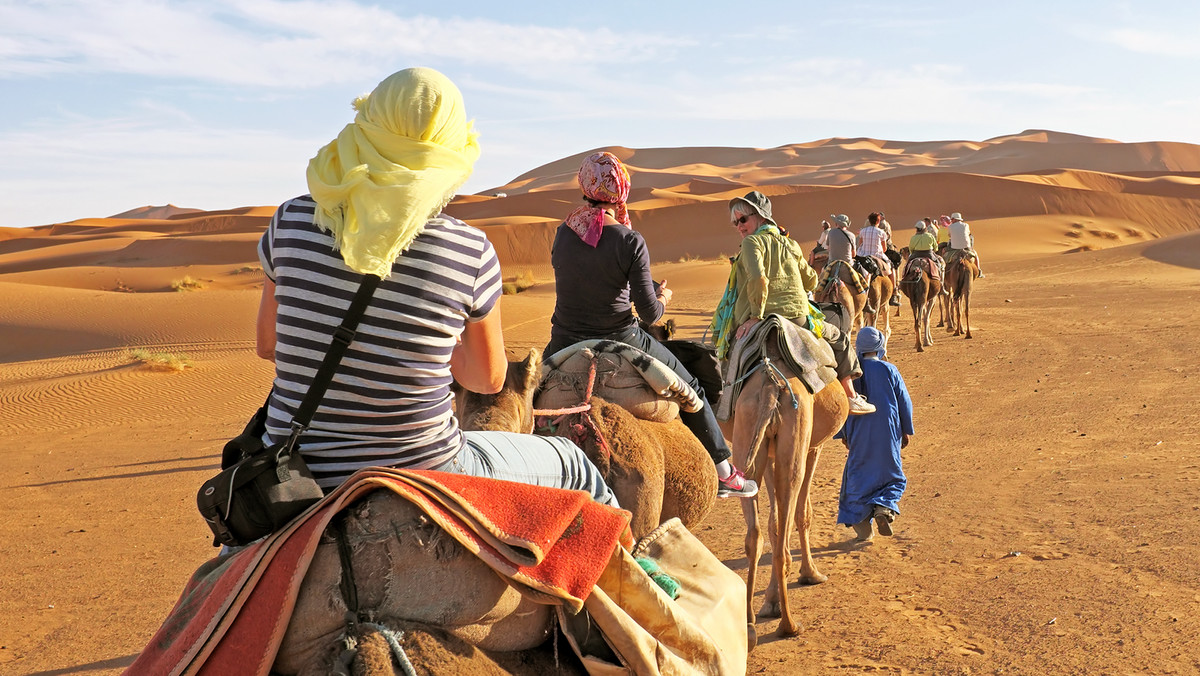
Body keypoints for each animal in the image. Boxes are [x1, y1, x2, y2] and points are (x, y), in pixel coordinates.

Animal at [715, 333, 849, 648]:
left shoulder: (769, 453)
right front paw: (810, 574)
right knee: (791, 495)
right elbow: (802, 513)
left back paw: (750, 624)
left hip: (748, 434)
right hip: (796, 433)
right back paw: (789, 624)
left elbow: (775, 523)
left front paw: (771, 601)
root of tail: (771, 388)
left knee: (754, 534)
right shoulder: (813, 447)